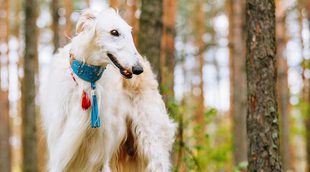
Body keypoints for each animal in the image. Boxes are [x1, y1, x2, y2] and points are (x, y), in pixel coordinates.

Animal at [41, 8, 177, 172]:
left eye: (130, 33)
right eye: (114, 32)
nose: (138, 69)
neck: (87, 83)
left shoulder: (101, 156)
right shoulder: (60, 150)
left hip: (153, 143)